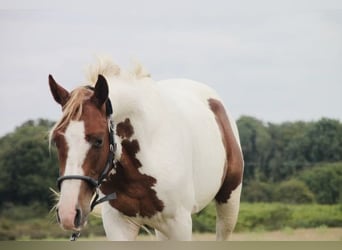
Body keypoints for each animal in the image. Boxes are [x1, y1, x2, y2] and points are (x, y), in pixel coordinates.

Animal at [49, 58, 244, 240]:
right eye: (57, 140)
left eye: (98, 140)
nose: (68, 214)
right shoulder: (119, 224)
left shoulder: (180, 224)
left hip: (228, 204)